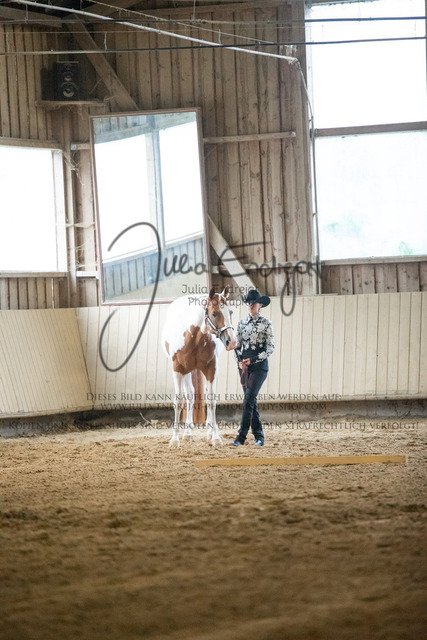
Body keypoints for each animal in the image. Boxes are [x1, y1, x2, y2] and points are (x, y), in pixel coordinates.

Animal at [162, 288, 237, 446]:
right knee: (190, 395)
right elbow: (179, 402)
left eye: (231, 312)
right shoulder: (178, 370)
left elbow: (211, 401)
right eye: (214, 313)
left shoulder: (211, 369)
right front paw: (174, 439)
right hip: (187, 371)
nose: (232, 342)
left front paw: (215, 437)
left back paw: (208, 431)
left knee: (204, 395)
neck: (192, 337)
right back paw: (187, 433)